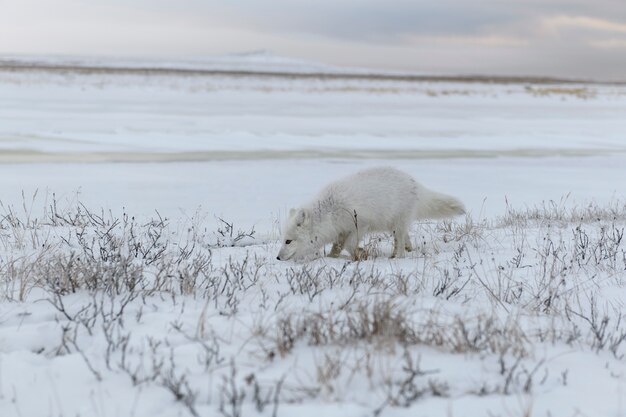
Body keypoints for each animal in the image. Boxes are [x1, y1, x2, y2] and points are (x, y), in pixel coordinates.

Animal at [276, 166, 464, 260]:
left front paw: (360, 254)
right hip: (392, 224)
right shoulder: (340, 229)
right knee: (404, 236)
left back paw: (398, 256)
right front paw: (332, 256)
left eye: (288, 241)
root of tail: (415, 183)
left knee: (400, 239)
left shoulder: (360, 224)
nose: (277, 258)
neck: (330, 211)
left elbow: (349, 244)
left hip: (398, 221)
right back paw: (407, 248)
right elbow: (338, 245)